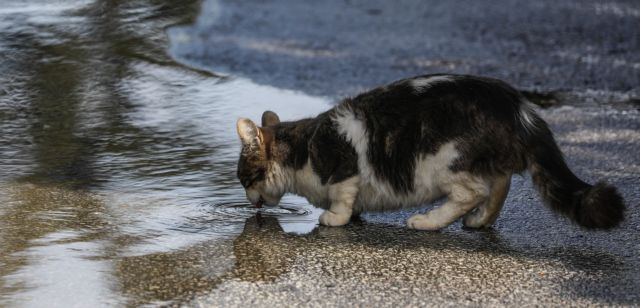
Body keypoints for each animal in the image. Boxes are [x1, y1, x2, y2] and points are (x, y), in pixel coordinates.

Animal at [235, 73, 624, 230]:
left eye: (244, 179)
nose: (249, 202)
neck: (302, 148)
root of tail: (517, 106)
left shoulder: (345, 168)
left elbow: (343, 198)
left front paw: (335, 217)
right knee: (500, 184)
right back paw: (480, 222)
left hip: (444, 160)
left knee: (474, 192)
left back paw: (428, 221)